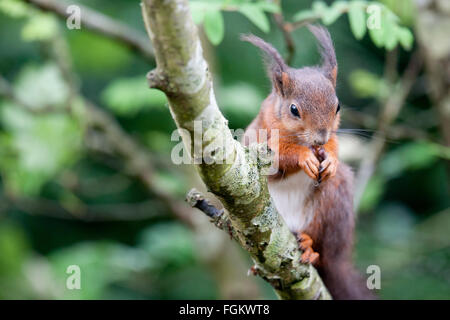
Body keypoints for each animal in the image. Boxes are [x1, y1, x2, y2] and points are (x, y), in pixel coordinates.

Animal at [243, 25, 372, 300]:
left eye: (338, 106)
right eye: (293, 109)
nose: (320, 137)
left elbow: (334, 147)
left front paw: (330, 158)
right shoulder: (259, 137)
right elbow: (279, 157)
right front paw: (303, 157)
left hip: (332, 205)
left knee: (321, 249)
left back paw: (310, 247)